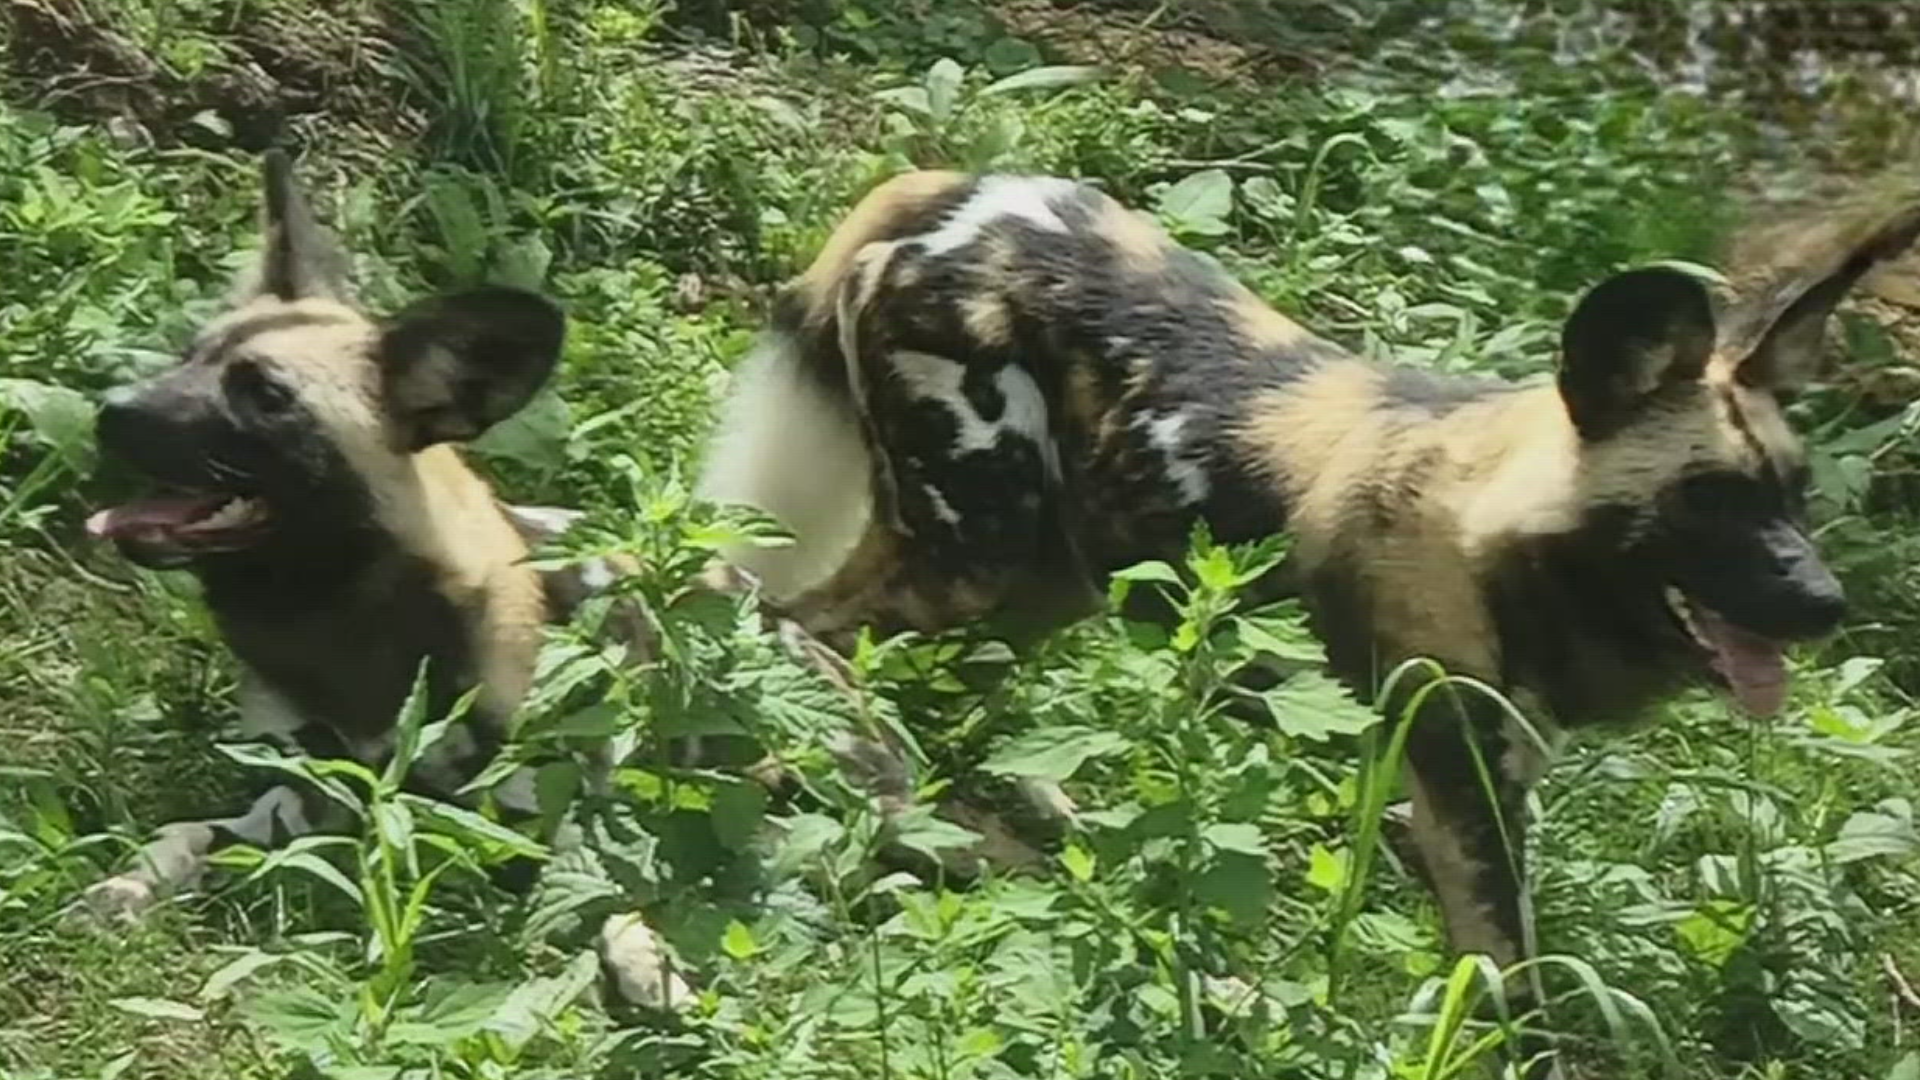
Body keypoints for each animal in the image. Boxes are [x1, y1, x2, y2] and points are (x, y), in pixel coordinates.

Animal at [702, 174, 1920, 1045]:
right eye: (1706, 501)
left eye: (1797, 498)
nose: (1824, 602)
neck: (1506, 539)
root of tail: (951, 197)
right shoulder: (1467, 804)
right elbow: (1516, 994)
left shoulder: (1474, 791)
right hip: (969, 561)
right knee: (783, 621)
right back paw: (853, 798)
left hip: (1042, 583)